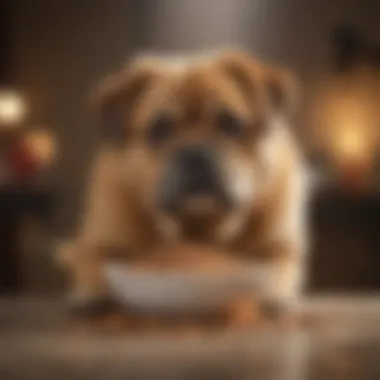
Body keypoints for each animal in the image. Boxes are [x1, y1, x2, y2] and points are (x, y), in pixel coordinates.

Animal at [59, 49, 308, 318]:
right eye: (159, 128)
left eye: (229, 123)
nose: (195, 154)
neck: (197, 228)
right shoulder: (99, 242)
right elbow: (94, 262)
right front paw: (91, 292)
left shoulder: (280, 247)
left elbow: (277, 267)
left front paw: (272, 293)